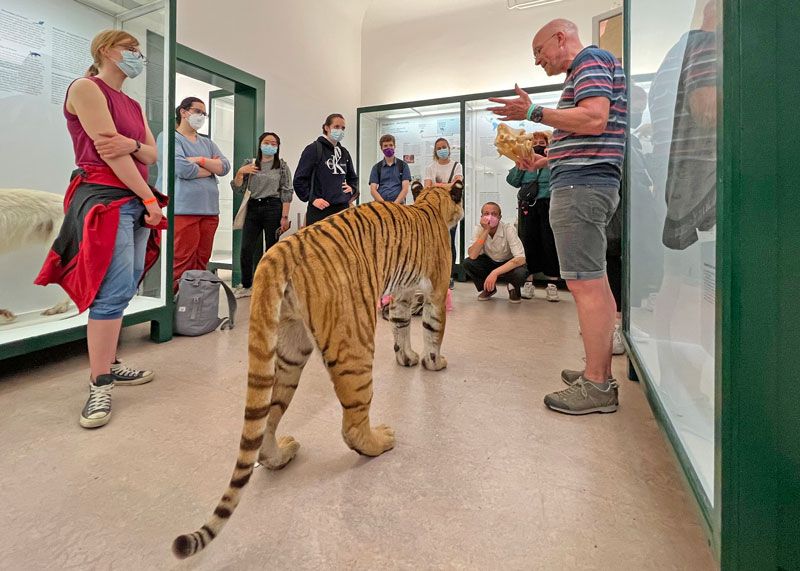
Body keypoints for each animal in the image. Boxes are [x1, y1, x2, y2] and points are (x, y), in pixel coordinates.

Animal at [172, 180, 466, 560]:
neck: (431, 203)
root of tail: (281, 249)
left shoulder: (402, 294)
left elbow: (401, 327)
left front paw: (407, 357)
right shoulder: (436, 290)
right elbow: (434, 330)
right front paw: (433, 363)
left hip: (289, 351)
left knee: (266, 421)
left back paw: (280, 455)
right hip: (355, 340)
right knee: (352, 425)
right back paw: (380, 441)